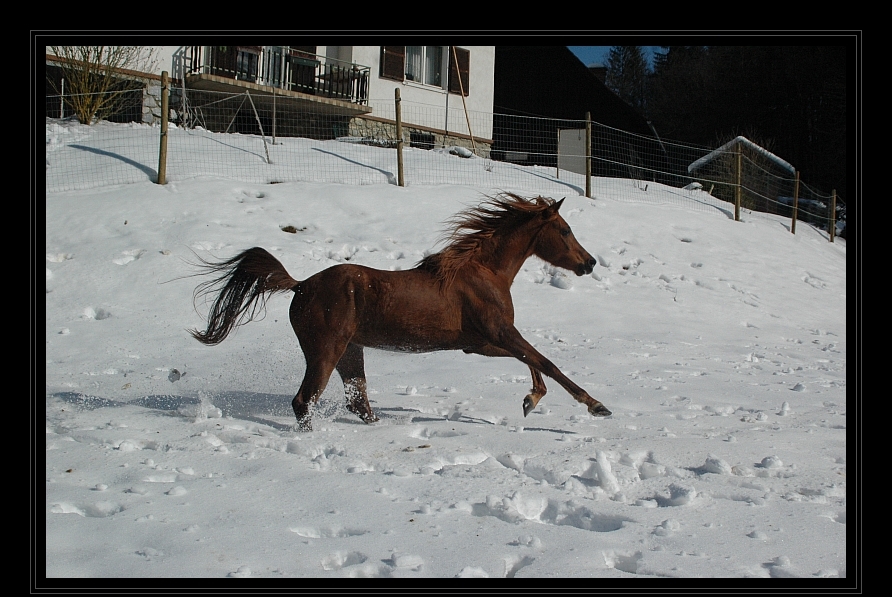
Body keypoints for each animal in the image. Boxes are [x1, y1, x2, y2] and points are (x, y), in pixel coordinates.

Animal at [191, 193, 608, 430]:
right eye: (565, 230)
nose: (589, 263)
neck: (484, 271)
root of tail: (299, 285)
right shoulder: (499, 333)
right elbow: (547, 362)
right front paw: (596, 406)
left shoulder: (479, 343)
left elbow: (534, 362)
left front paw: (530, 401)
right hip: (326, 351)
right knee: (305, 400)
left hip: (350, 352)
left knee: (356, 401)